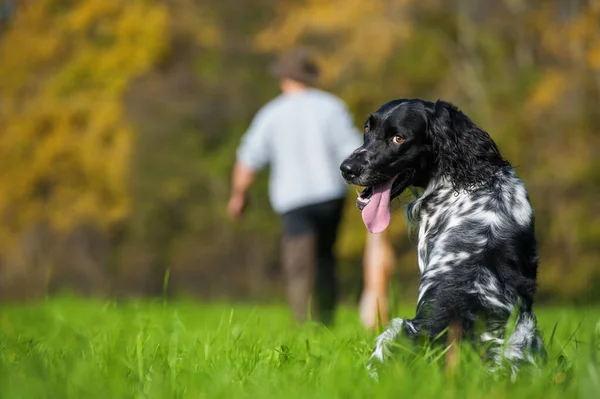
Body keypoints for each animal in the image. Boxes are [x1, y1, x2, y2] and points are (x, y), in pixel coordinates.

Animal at [340, 99, 548, 378]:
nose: (346, 169)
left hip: (396, 329)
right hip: (527, 333)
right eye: (367, 129)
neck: (467, 179)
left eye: (398, 138)